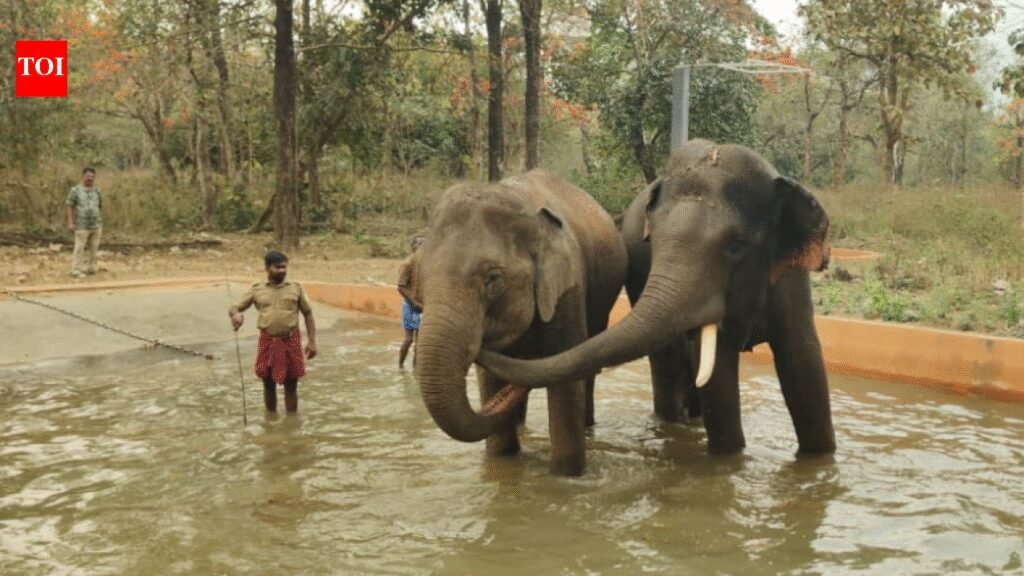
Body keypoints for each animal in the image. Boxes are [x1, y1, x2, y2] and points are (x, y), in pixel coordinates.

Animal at [414, 170, 627, 476]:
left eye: (493, 279)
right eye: (419, 279)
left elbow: (566, 381)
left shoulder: (568, 289)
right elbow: (490, 381)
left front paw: (565, 475)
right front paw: (501, 461)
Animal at [477, 140, 836, 455]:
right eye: (654, 242)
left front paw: (819, 459)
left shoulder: (791, 279)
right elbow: (718, 373)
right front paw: (731, 457)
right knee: (667, 360)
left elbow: (803, 362)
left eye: (736, 245)